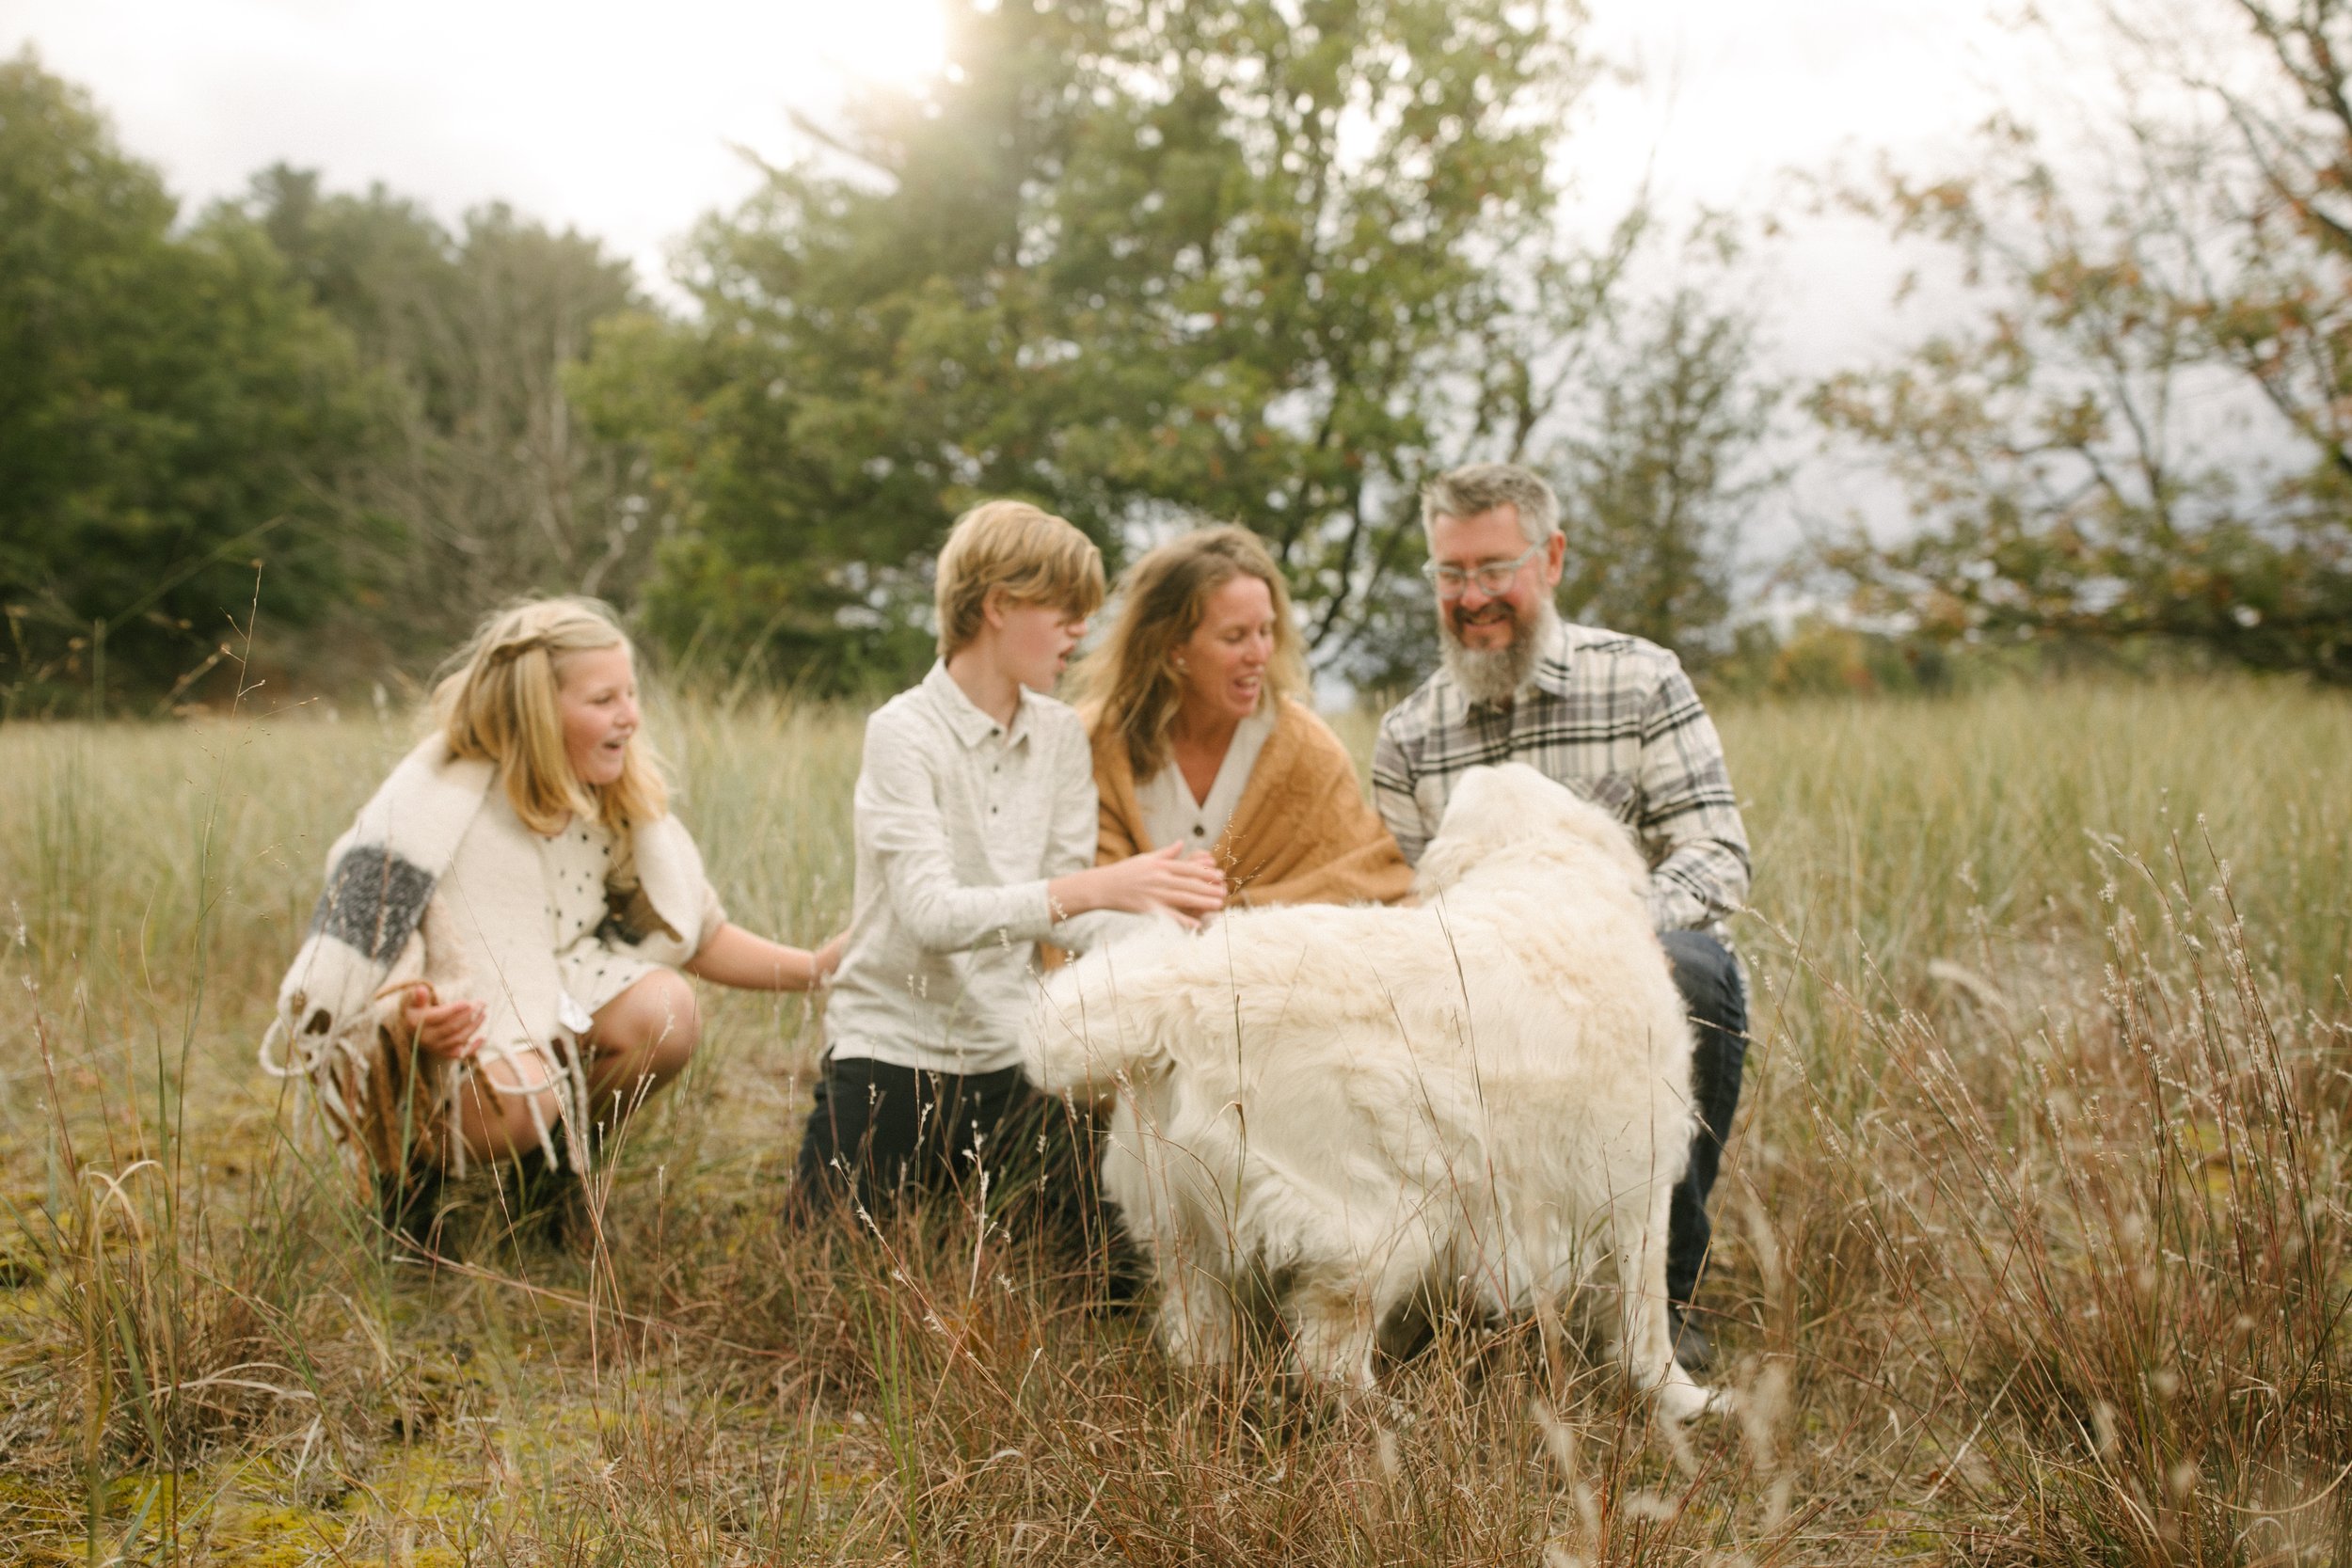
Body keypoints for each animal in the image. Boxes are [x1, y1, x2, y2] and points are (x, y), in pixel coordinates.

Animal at [1021, 761, 1722, 1419]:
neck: (1536, 861)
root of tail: (1182, 989)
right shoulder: (1638, 1186)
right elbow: (1646, 1318)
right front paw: (1679, 1399)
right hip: (1386, 1223)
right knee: (1328, 1365)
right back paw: (1396, 1421)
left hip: (1182, 1226)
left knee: (1199, 1339)